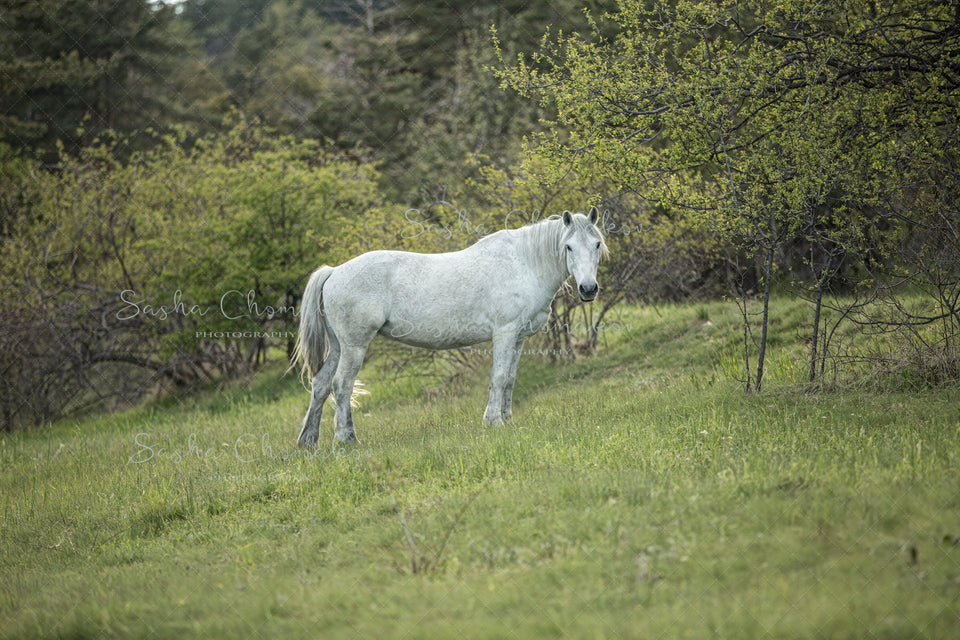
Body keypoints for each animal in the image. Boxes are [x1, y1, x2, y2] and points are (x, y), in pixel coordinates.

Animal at [292, 209, 608, 444]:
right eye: (568, 246)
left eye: (596, 245)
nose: (588, 289)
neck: (524, 264)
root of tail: (334, 272)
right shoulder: (505, 333)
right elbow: (499, 377)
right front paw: (493, 422)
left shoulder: (518, 339)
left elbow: (510, 379)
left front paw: (507, 419)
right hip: (354, 346)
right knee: (341, 386)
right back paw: (347, 439)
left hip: (338, 347)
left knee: (321, 385)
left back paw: (309, 442)